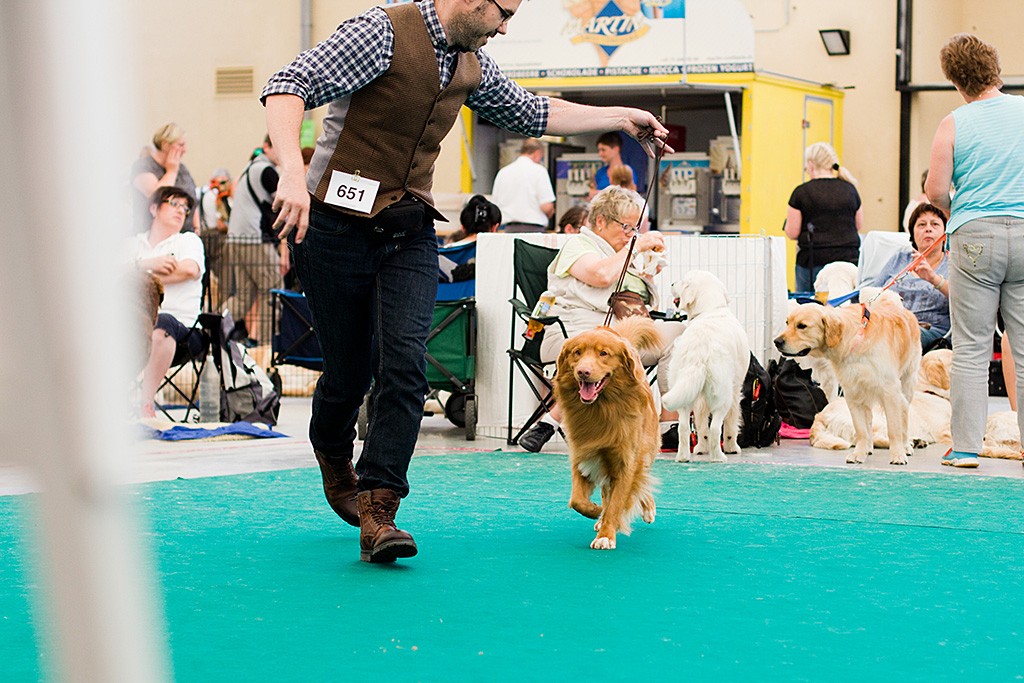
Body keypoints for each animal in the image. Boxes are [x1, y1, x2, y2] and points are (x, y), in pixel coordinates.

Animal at [552, 317, 663, 548]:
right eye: (577, 352)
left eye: (603, 353)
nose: (583, 372)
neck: (602, 408)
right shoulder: (583, 454)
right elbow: (577, 500)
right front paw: (596, 511)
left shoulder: (625, 462)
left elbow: (617, 502)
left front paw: (606, 535)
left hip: (644, 451)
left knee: (642, 478)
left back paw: (648, 508)